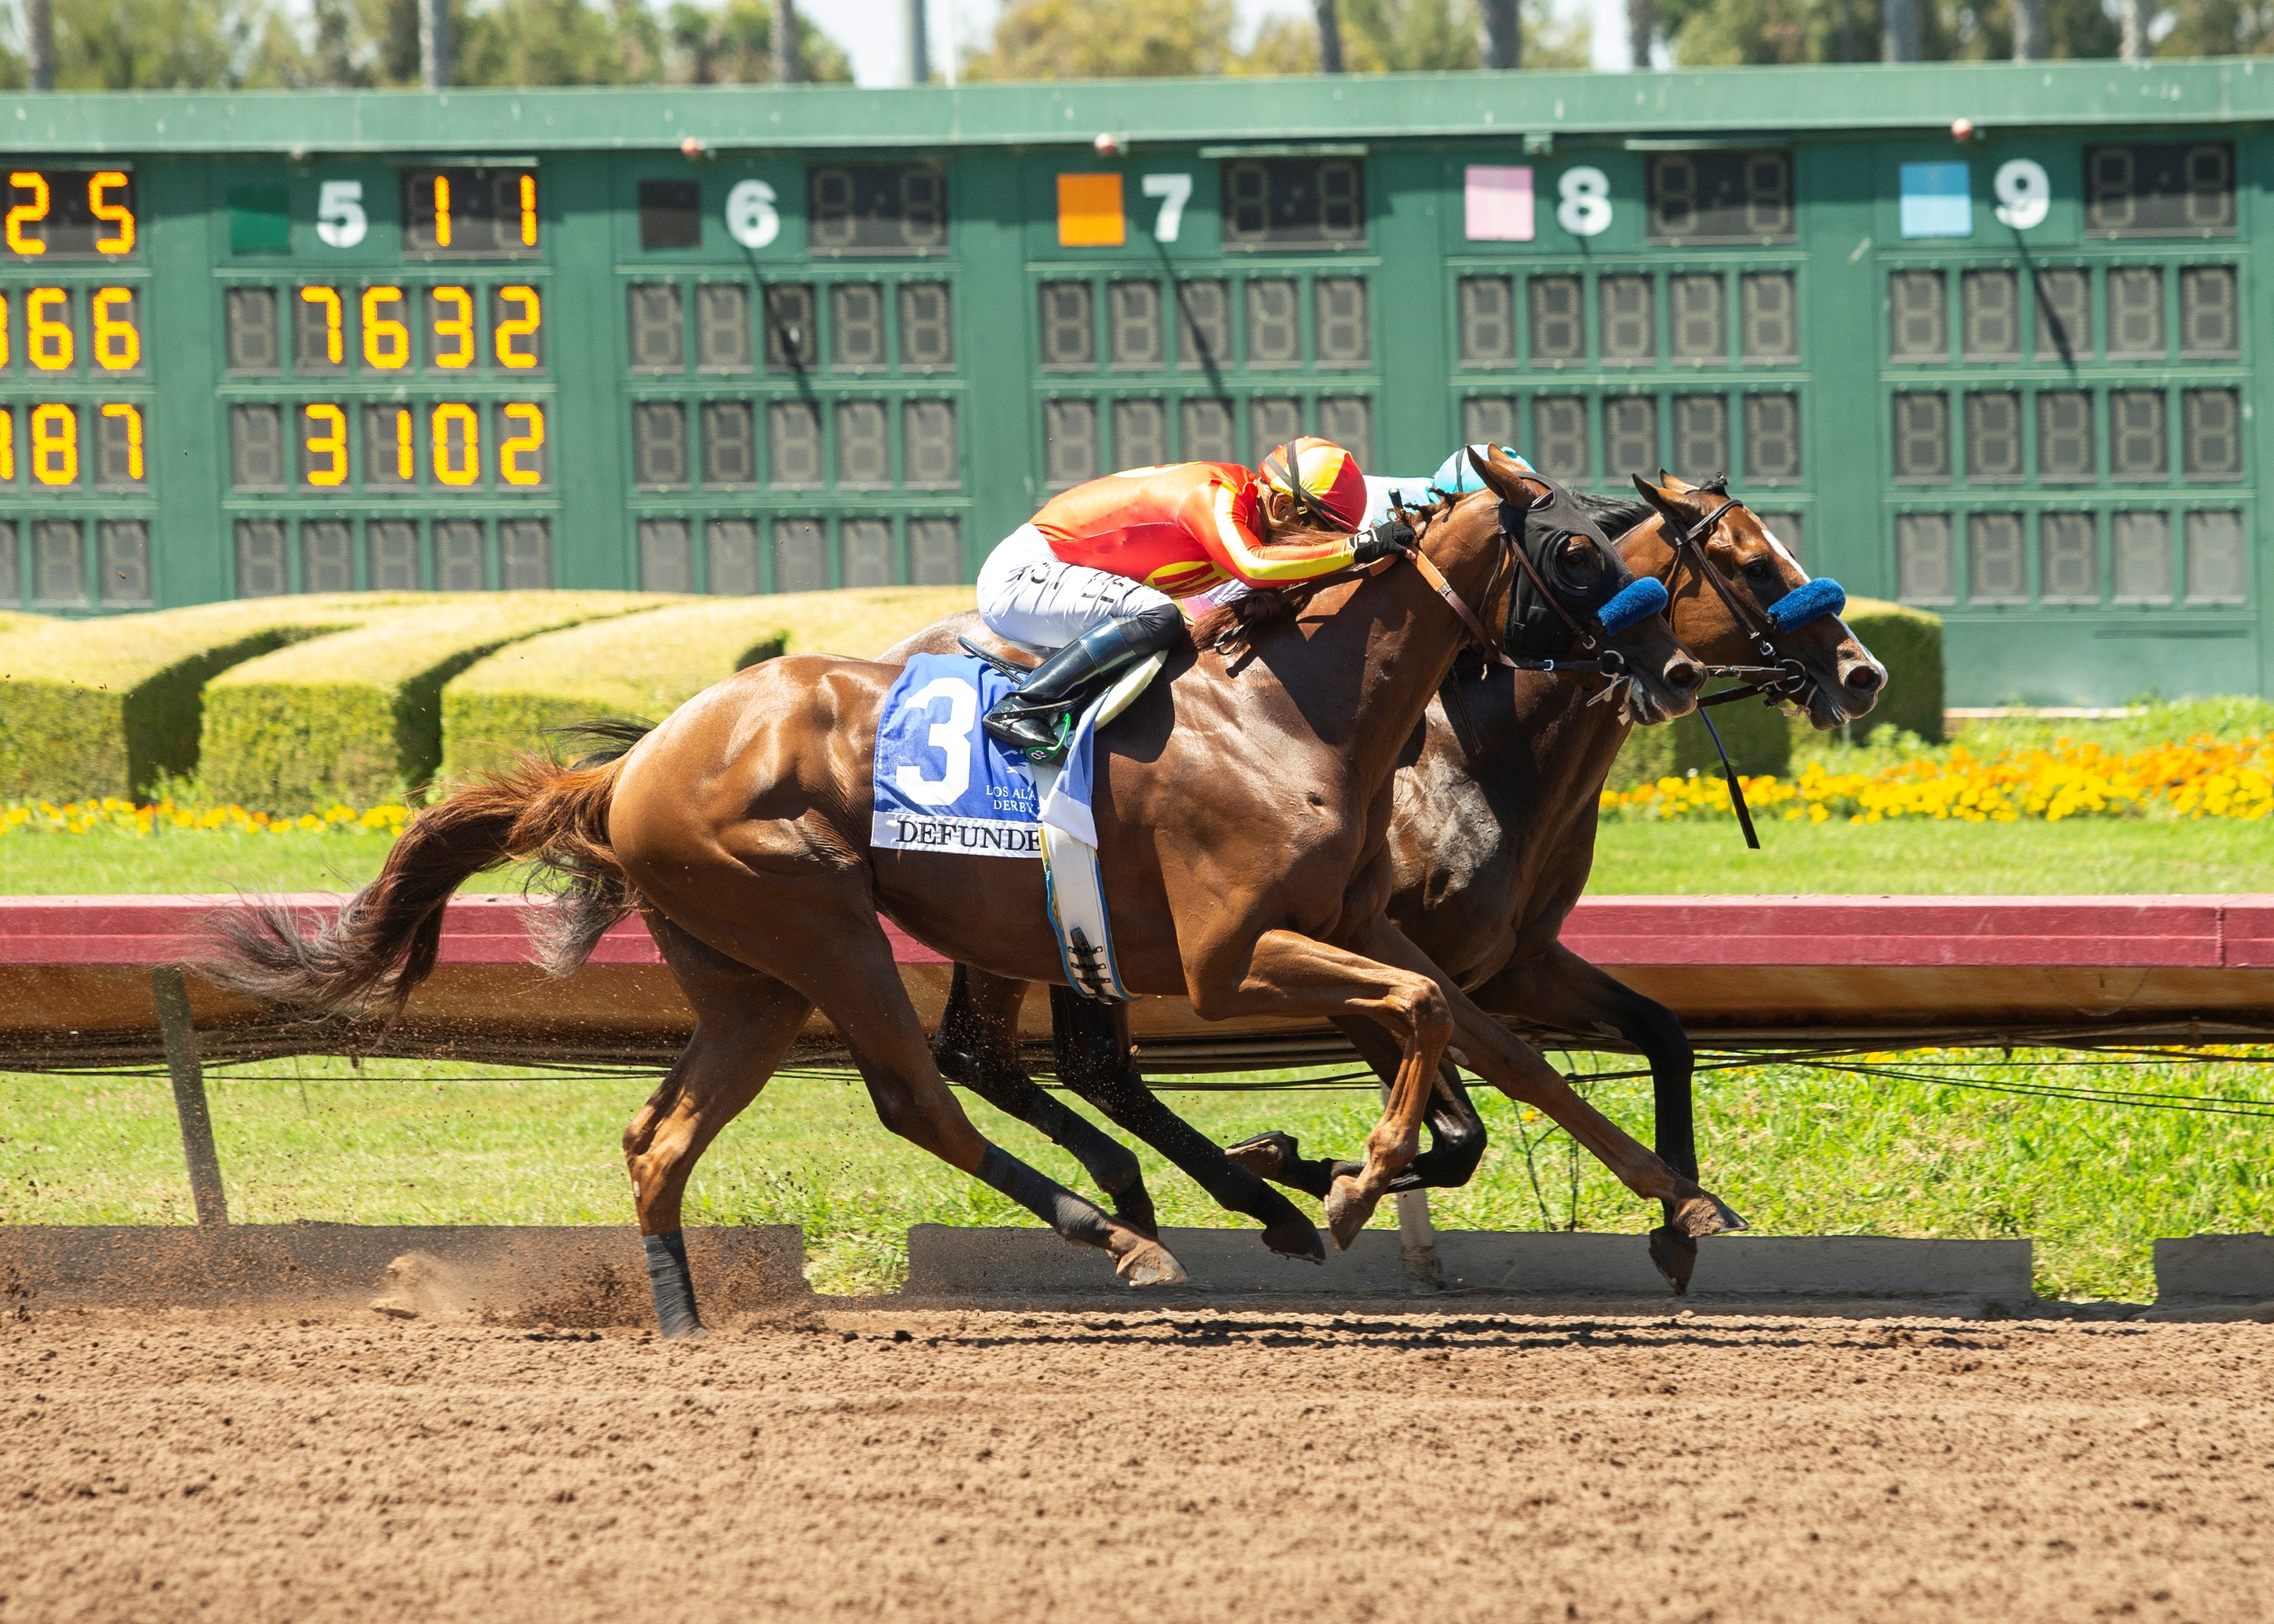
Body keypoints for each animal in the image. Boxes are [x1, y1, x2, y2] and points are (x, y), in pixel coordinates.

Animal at [217, 452, 1737, 1328]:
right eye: (1580, 550)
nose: (1668, 670)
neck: (1296, 709)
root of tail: (638, 758)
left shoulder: (1361, 927)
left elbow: (1486, 1049)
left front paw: (1676, 1206)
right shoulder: (1236, 956)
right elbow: (1430, 1023)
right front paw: (1345, 1182)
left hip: (750, 977)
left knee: (663, 1137)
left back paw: (682, 1314)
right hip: (820, 922)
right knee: (918, 1097)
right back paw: (1117, 1235)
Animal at [886, 470, 1882, 1291]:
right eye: (1753, 563)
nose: (1865, 673)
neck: (1477, 756)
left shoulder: (1514, 963)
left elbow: (1637, 1040)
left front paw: (1681, 1216)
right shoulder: (1336, 957)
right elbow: (1462, 1128)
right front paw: (1317, 1168)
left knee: (1012, 1056)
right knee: (1041, 1059)